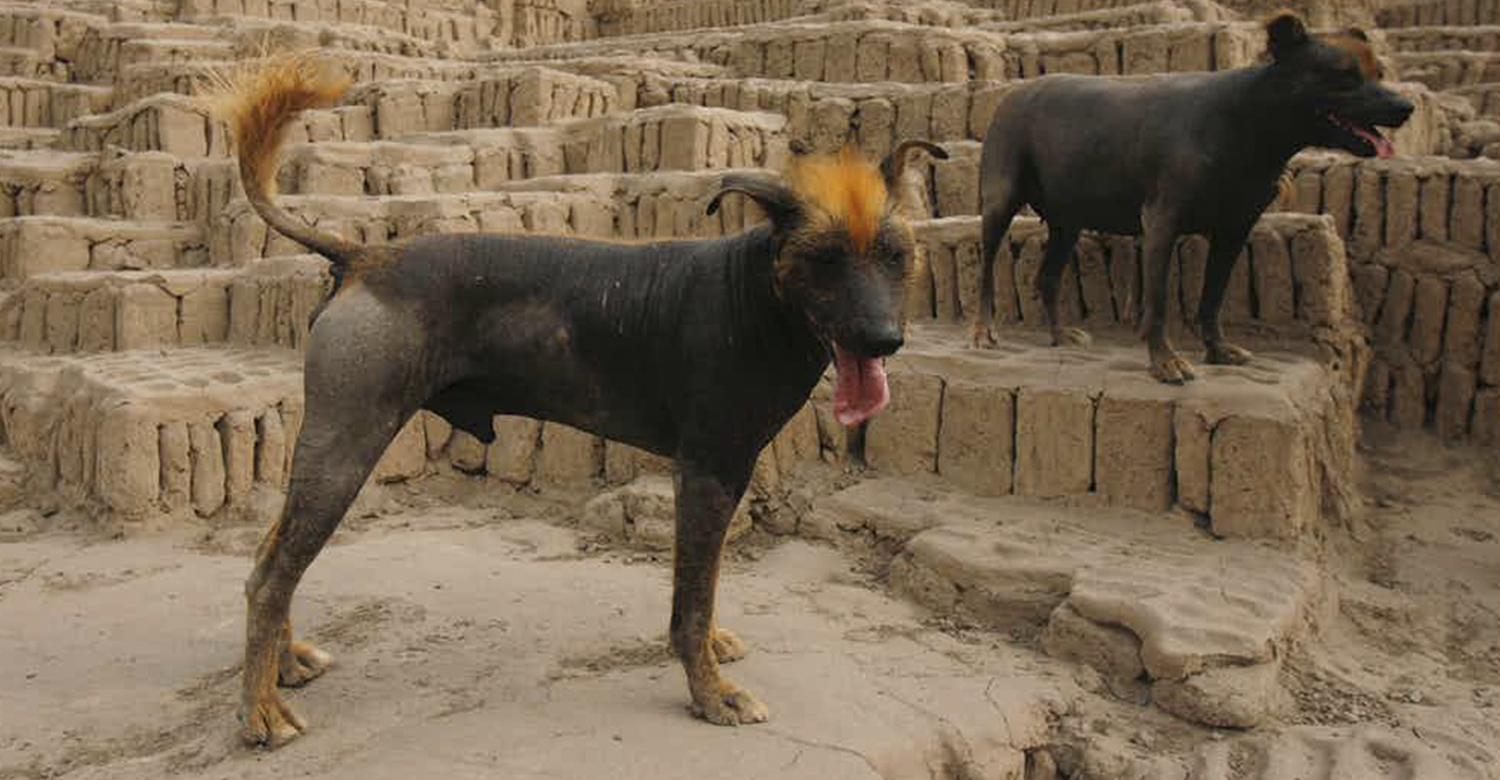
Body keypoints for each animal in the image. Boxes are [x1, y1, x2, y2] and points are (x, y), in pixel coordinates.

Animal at [213, 54, 942, 750]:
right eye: (824, 259)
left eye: (895, 255)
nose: (883, 339)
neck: (757, 298)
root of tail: (364, 258)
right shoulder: (708, 473)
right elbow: (691, 601)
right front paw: (710, 692)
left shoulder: (720, 477)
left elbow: (703, 589)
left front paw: (712, 653)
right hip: (345, 447)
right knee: (271, 575)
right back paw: (258, 712)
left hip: (330, 454)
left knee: (267, 563)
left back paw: (283, 666)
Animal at [972, 9, 1416, 381]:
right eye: (1343, 76)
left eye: (1378, 71)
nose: (1406, 107)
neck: (1246, 121)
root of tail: (1011, 94)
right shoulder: (1161, 223)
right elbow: (1159, 301)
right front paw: (1164, 361)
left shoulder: (1235, 230)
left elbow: (1212, 298)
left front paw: (1217, 350)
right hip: (1000, 200)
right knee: (987, 269)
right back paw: (983, 330)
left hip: (1068, 221)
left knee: (1047, 278)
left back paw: (1060, 334)